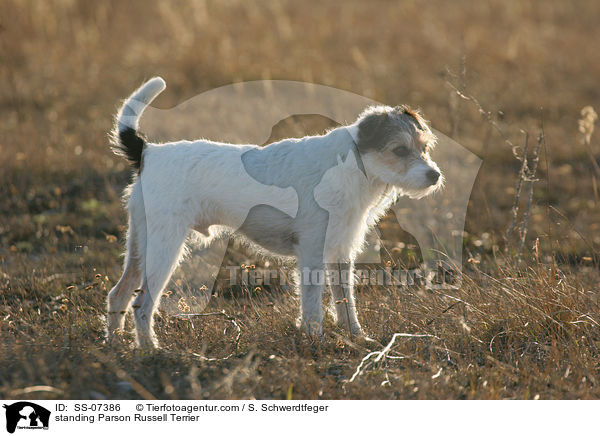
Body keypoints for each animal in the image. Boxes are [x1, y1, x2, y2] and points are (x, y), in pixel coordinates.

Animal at [106, 76, 440, 348]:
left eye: (424, 147)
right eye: (399, 150)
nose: (434, 175)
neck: (353, 163)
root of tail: (148, 152)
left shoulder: (341, 252)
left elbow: (346, 301)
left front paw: (356, 336)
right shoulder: (312, 252)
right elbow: (312, 304)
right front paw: (315, 339)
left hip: (139, 245)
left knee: (119, 294)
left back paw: (115, 343)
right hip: (164, 249)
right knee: (142, 305)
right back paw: (150, 350)